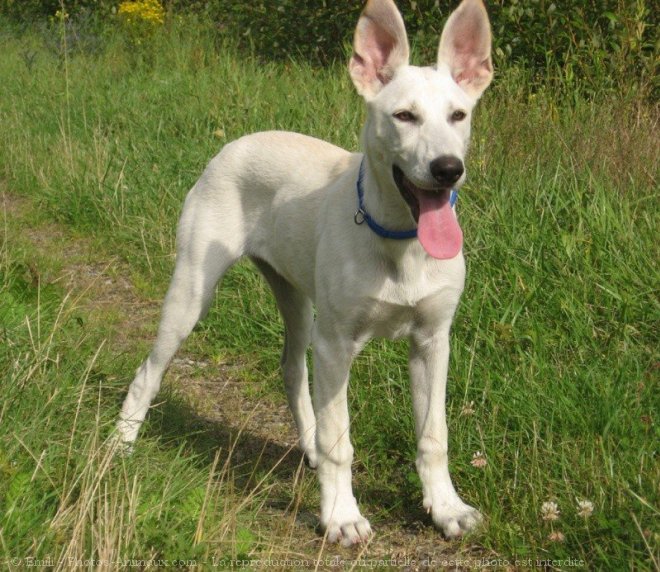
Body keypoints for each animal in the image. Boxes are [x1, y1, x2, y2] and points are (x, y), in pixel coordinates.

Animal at [117, 0, 490, 544]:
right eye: (404, 116)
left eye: (458, 115)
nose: (448, 169)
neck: (398, 241)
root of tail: (236, 143)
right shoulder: (336, 344)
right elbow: (341, 441)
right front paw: (341, 517)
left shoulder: (432, 341)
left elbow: (433, 436)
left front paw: (446, 508)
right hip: (191, 292)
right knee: (149, 370)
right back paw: (120, 443)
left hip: (297, 300)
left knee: (292, 368)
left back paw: (308, 444)